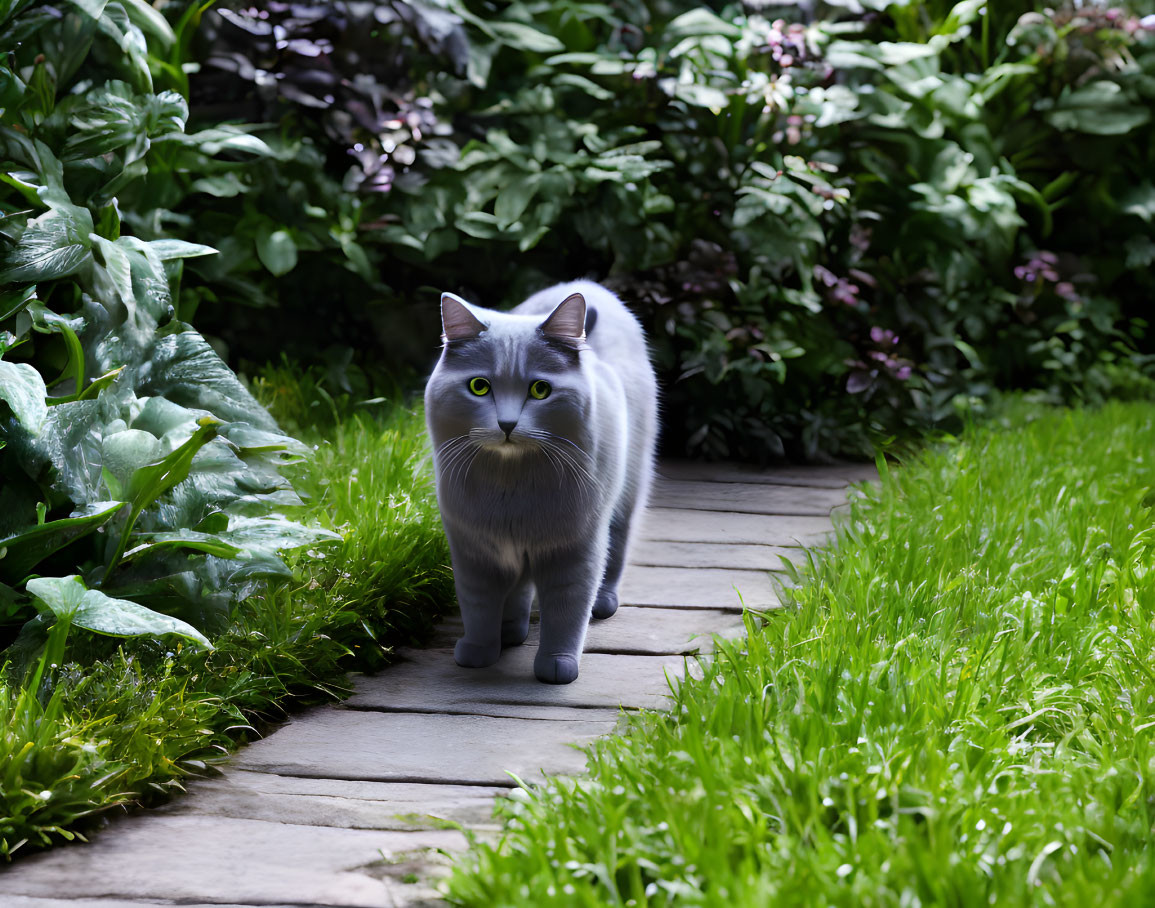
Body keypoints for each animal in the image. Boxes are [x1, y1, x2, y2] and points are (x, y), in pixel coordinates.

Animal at [425, 279, 660, 683]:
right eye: (479, 387)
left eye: (540, 390)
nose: (506, 425)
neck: (511, 485)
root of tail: (584, 285)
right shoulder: (475, 551)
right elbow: (478, 607)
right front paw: (480, 651)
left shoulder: (574, 549)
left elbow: (566, 611)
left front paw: (556, 666)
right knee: (519, 591)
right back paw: (512, 632)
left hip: (627, 494)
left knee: (617, 550)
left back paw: (603, 603)